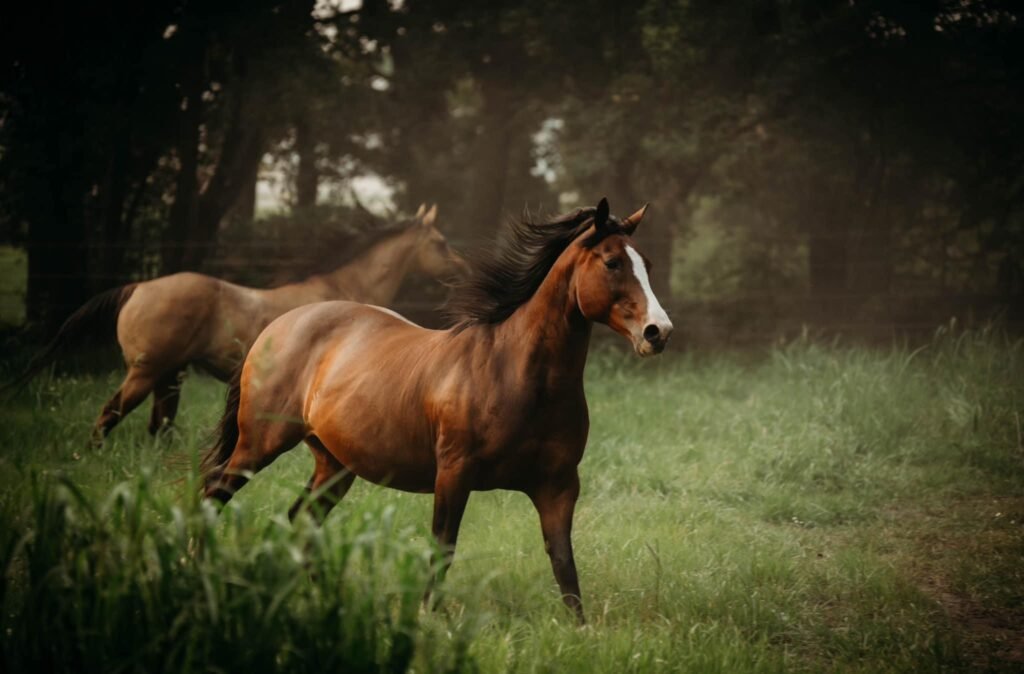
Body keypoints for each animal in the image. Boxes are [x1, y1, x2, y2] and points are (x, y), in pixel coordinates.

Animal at [9, 204, 462, 440]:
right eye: (440, 242)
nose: (461, 269)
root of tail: (138, 288)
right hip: (145, 372)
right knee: (108, 416)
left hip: (168, 376)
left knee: (157, 426)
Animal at [201, 196, 671, 622]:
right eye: (612, 263)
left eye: (645, 263)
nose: (658, 332)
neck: (517, 375)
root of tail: (276, 327)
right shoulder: (454, 473)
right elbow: (442, 548)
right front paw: (428, 617)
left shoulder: (558, 485)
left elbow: (563, 563)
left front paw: (580, 630)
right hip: (259, 446)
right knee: (215, 493)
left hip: (333, 465)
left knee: (302, 517)